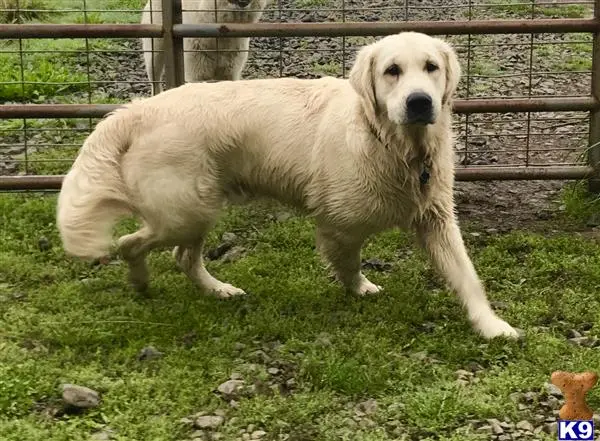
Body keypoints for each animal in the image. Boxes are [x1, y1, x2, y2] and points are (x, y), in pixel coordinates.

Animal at [56, 32, 516, 338]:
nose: (419, 101)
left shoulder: (437, 219)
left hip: (196, 210)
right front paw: (360, 288)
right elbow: (349, 264)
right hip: (185, 211)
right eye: (392, 72)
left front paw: (492, 325)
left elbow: (468, 277)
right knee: (131, 243)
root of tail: (136, 110)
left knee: (183, 257)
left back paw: (218, 290)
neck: (391, 143)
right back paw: (140, 283)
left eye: (432, 68)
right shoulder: (338, 224)